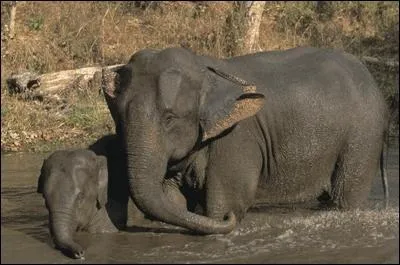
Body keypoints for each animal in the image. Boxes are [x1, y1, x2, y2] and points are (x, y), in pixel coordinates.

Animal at [101, 46, 390, 234]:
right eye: (119, 118)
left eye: (169, 118)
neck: (207, 72)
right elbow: (171, 200)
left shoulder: (237, 138)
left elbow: (223, 206)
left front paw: (225, 214)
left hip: (362, 136)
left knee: (346, 197)